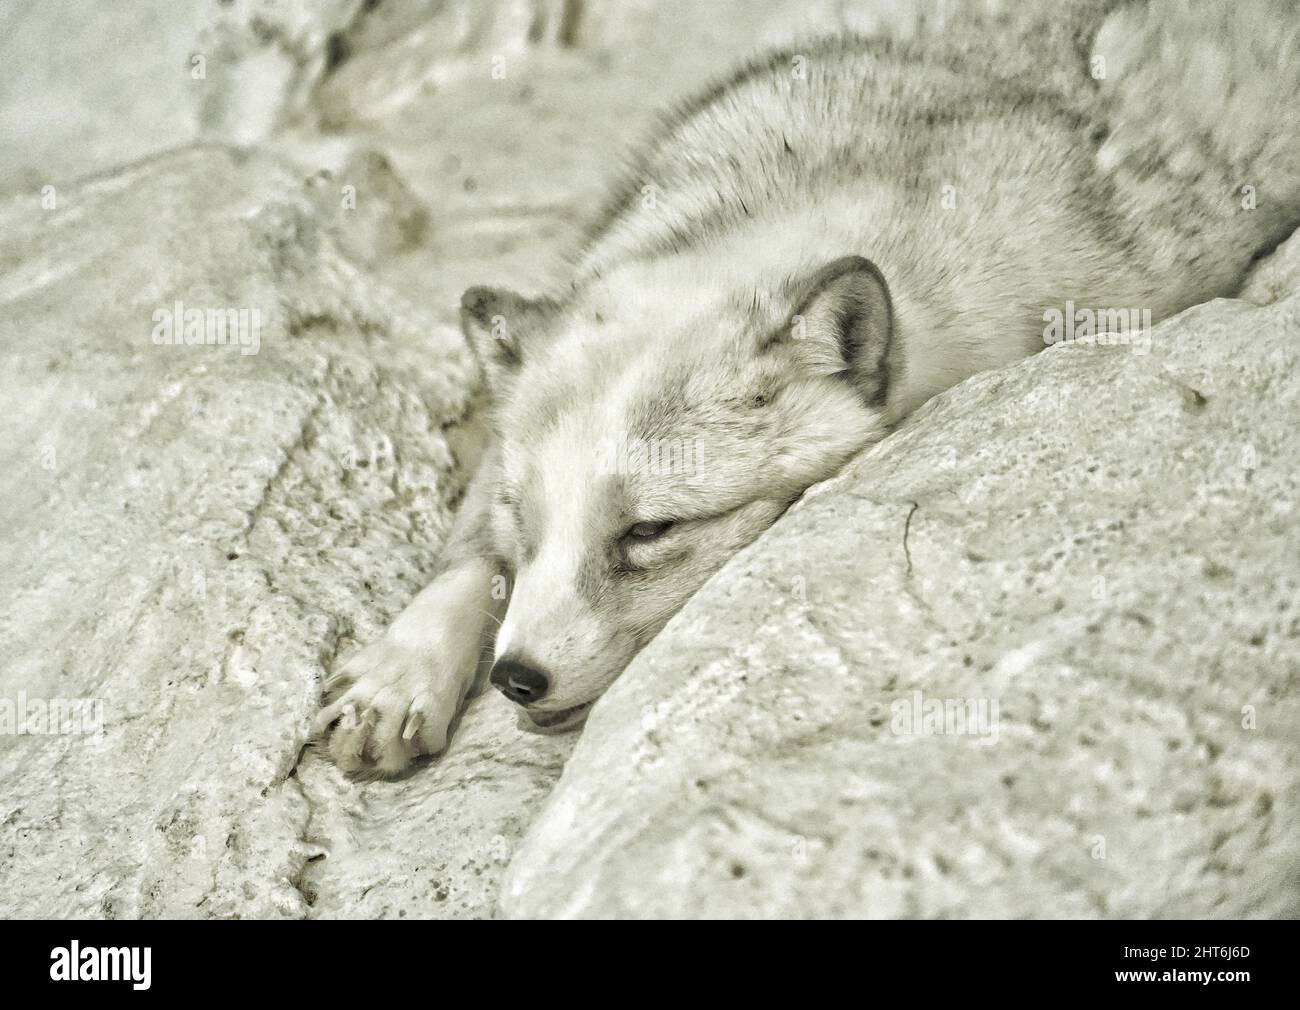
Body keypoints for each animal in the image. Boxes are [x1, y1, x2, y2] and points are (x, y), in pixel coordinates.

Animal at [315, 0, 1300, 775]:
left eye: (649, 532)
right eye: (529, 521)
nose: (515, 677)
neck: (806, 200)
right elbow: (466, 561)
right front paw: (399, 676)